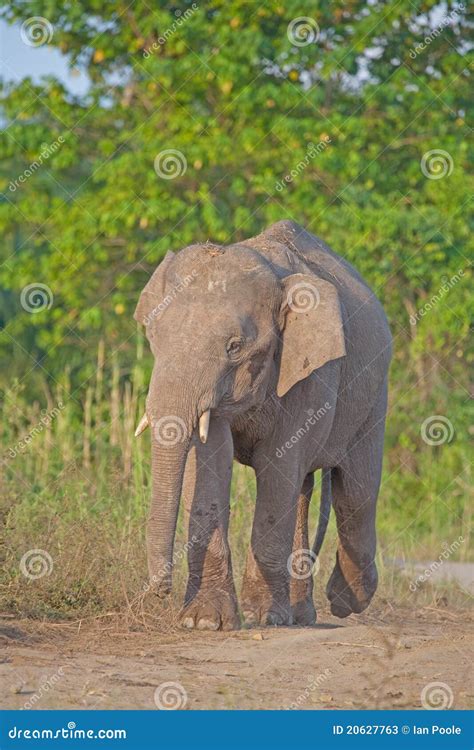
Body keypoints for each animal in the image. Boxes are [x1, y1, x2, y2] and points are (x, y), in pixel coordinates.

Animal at [133, 220, 392, 630]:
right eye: (153, 336)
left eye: (234, 347)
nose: (158, 593)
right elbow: (210, 460)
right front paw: (204, 622)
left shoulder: (308, 372)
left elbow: (277, 465)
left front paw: (263, 617)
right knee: (305, 489)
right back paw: (301, 615)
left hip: (374, 391)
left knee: (355, 492)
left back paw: (344, 602)